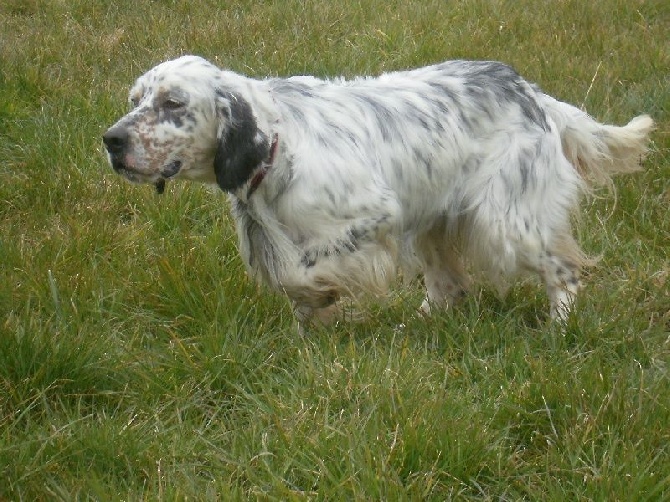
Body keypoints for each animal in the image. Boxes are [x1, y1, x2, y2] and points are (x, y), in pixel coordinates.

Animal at [105, 56, 656, 326]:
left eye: (173, 103)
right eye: (134, 100)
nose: (111, 140)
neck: (277, 148)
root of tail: (532, 93)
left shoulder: (375, 216)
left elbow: (303, 272)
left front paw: (325, 296)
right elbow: (293, 286)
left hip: (506, 220)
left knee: (563, 271)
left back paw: (559, 326)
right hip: (433, 223)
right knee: (450, 286)